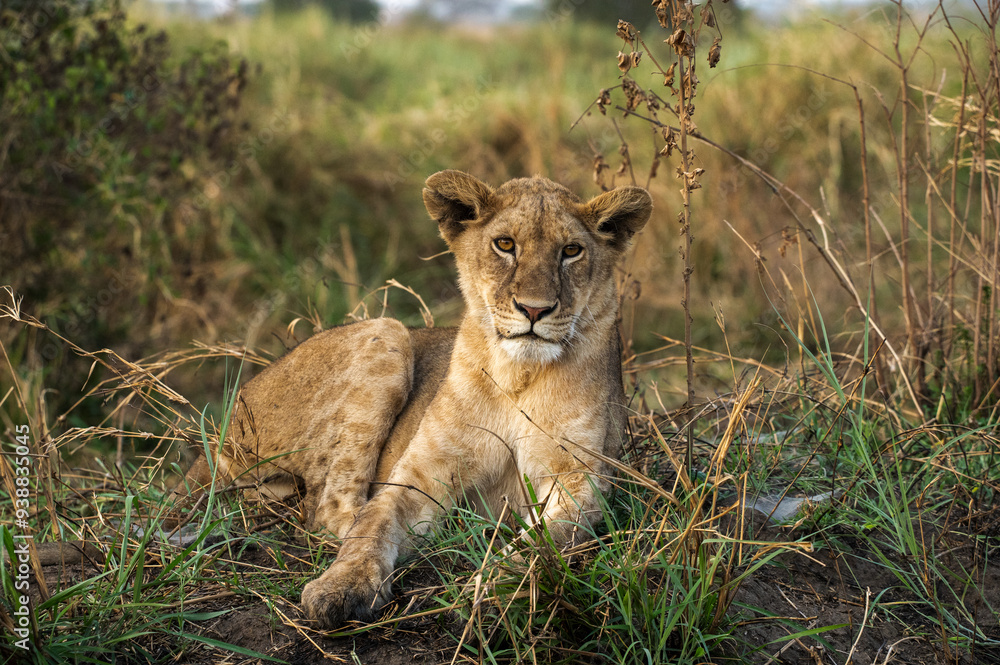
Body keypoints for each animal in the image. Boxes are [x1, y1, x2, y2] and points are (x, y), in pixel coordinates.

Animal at [179, 170, 652, 628]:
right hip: (387, 332)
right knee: (330, 510)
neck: (517, 375)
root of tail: (223, 427)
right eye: (504, 244)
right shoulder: (420, 476)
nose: (534, 310)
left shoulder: (581, 484)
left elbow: (541, 544)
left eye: (571, 250)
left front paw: (493, 592)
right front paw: (341, 587)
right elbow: (374, 524)